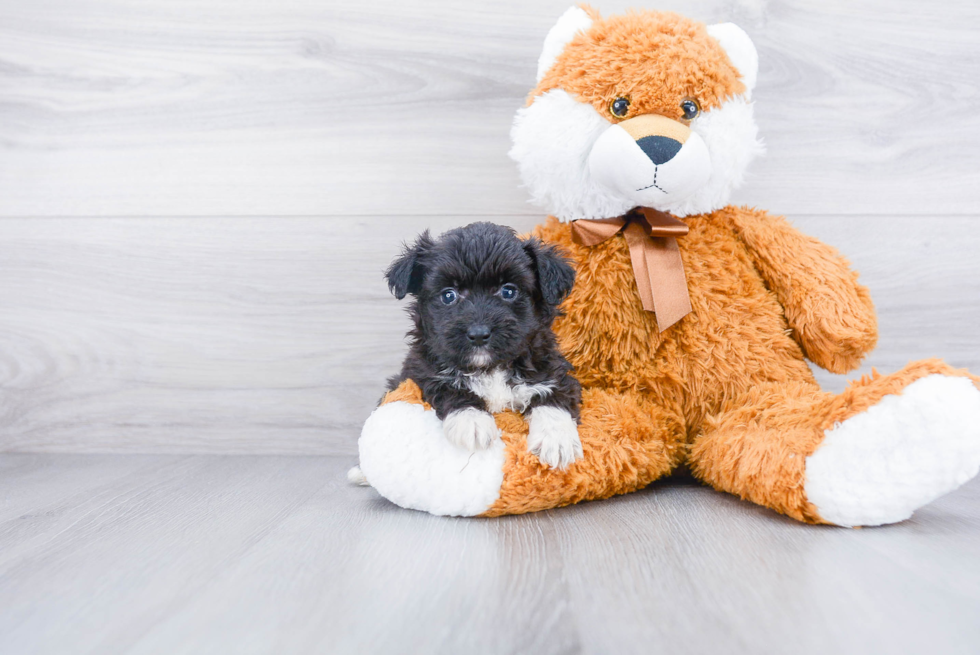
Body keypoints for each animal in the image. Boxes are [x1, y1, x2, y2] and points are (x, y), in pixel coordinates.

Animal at [382, 223, 580, 468]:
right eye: (449, 295)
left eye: (508, 291)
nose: (478, 334)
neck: (489, 368)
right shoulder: (418, 372)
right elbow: (447, 387)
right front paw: (472, 421)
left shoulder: (551, 368)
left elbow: (555, 396)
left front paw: (557, 439)